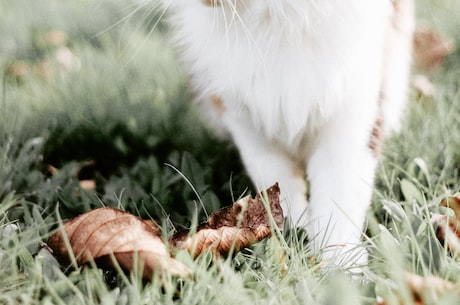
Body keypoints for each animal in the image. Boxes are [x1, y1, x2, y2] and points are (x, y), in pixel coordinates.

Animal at [160, 0, 416, 270]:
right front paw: (296, 240)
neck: (281, 16)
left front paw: (340, 265)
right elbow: (280, 192)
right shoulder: (248, 124)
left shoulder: (353, 120)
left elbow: (339, 198)